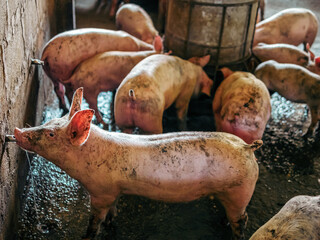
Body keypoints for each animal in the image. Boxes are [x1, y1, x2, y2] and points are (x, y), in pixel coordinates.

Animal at [13, 87, 262, 240]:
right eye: (51, 122)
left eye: (51, 134)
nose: (17, 131)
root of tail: (247, 147)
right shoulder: (112, 191)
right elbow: (113, 210)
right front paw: (111, 222)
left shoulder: (100, 192)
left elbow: (95, 220)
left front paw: (86, 235)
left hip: (239, 190)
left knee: (242, 218)